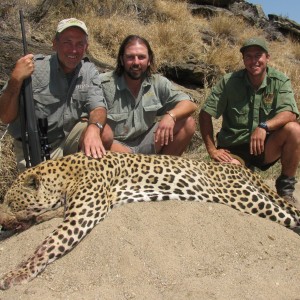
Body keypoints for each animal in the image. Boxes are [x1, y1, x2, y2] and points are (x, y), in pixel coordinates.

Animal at [0, 151, 300, 290]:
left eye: (11, 202)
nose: (2, 221)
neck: (64, 175)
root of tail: (239, 168)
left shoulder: (82, 215)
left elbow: (47, 245)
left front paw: (16, 274)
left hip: (243, 197)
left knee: (288, 216)